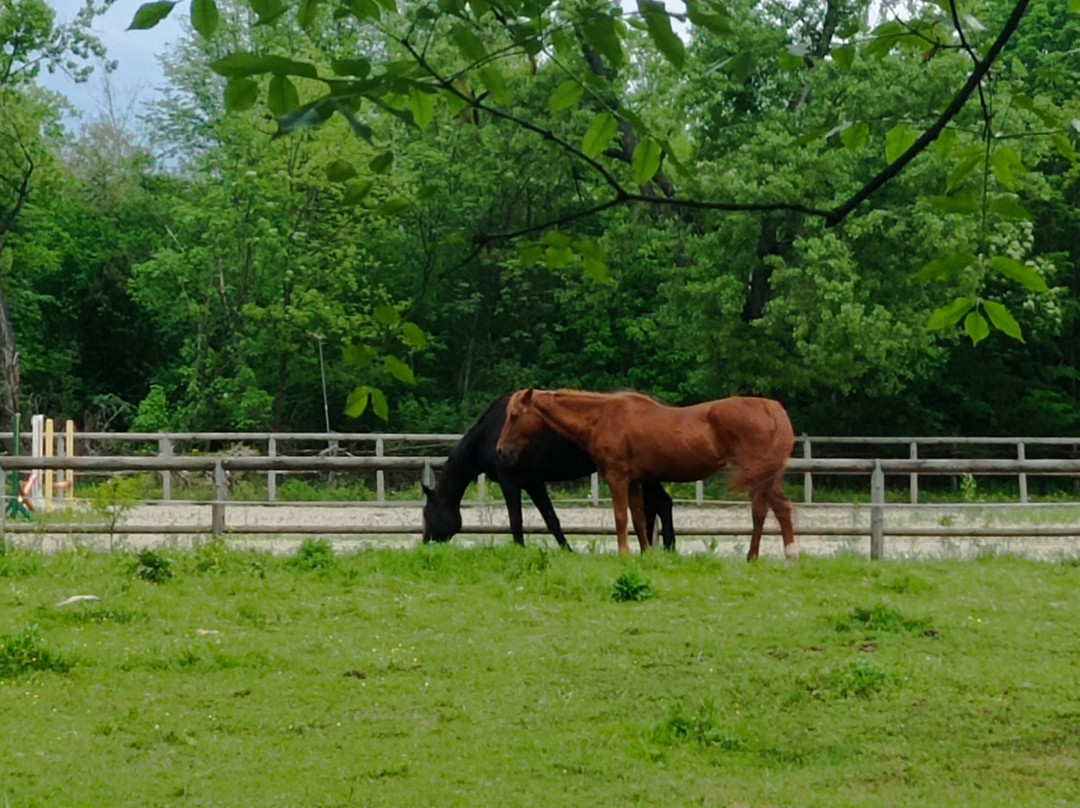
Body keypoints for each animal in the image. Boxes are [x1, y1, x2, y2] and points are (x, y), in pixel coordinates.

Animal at [421, 393, 673, 557]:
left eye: (427, 514)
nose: (425, 543)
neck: (490, 434)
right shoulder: (533, 483)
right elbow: (551, 519)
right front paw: (567, 550)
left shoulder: (510, 481)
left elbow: (516, 519)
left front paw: (519, 549)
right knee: (657, 505)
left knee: (660, 504)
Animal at [494, 391, 794, 561]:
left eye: (514, 415)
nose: (501, 450)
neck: (602, 417)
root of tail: (772, 408)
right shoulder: (635, 481)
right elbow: (638, 518)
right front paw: (646, 554)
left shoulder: (617, 477)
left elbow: (620, 517)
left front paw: (624, 554)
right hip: (762, 479)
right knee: (764, 513)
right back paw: (755, 557)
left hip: (760, 477)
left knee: (778, 510)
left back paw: (787, 555)